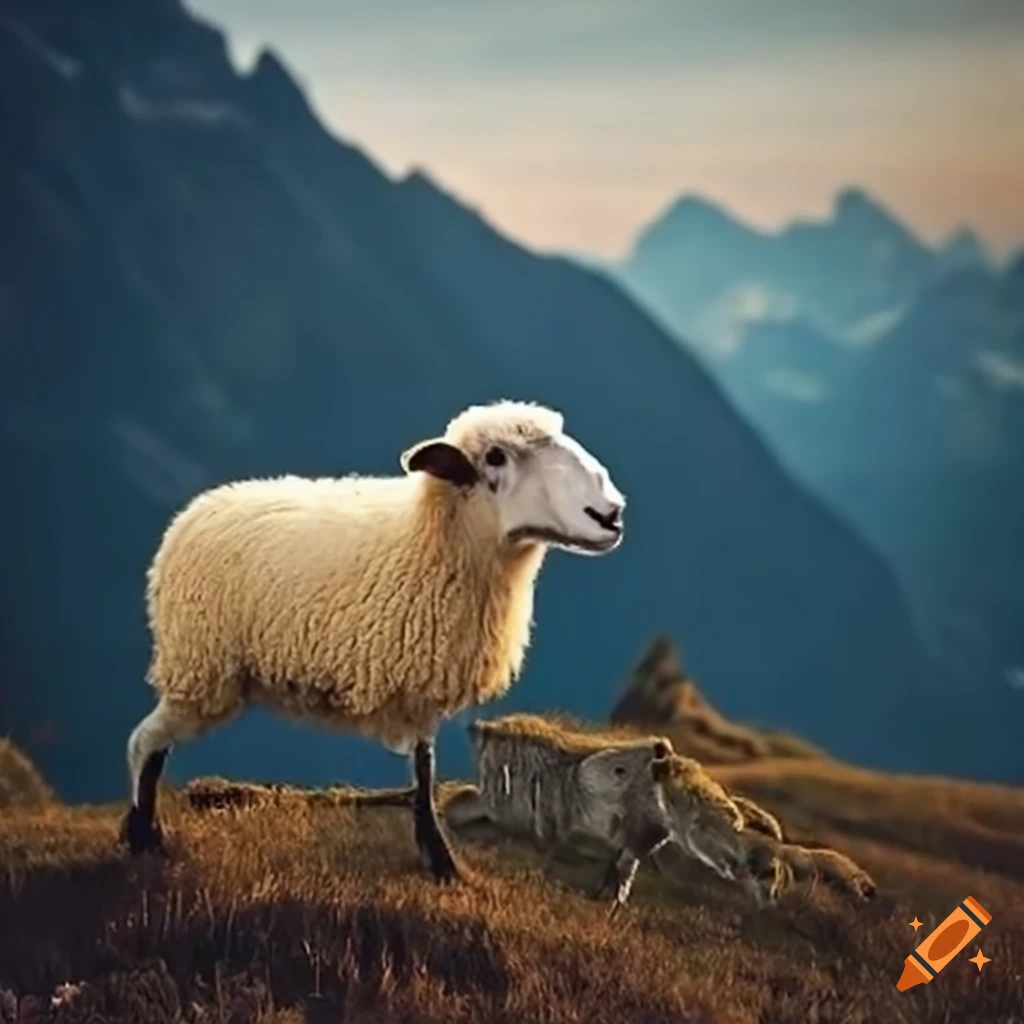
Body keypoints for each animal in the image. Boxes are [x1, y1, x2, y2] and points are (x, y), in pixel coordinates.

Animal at [119, 399, 626, 883]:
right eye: (496, 457)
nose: (610, 514)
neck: (433, 537)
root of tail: (199, 507)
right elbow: (424, 774)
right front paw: (440, 858)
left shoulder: (420, 685)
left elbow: (424, 770)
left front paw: (439, 859)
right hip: (201, 667)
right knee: (146, 743)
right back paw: (143, 838)